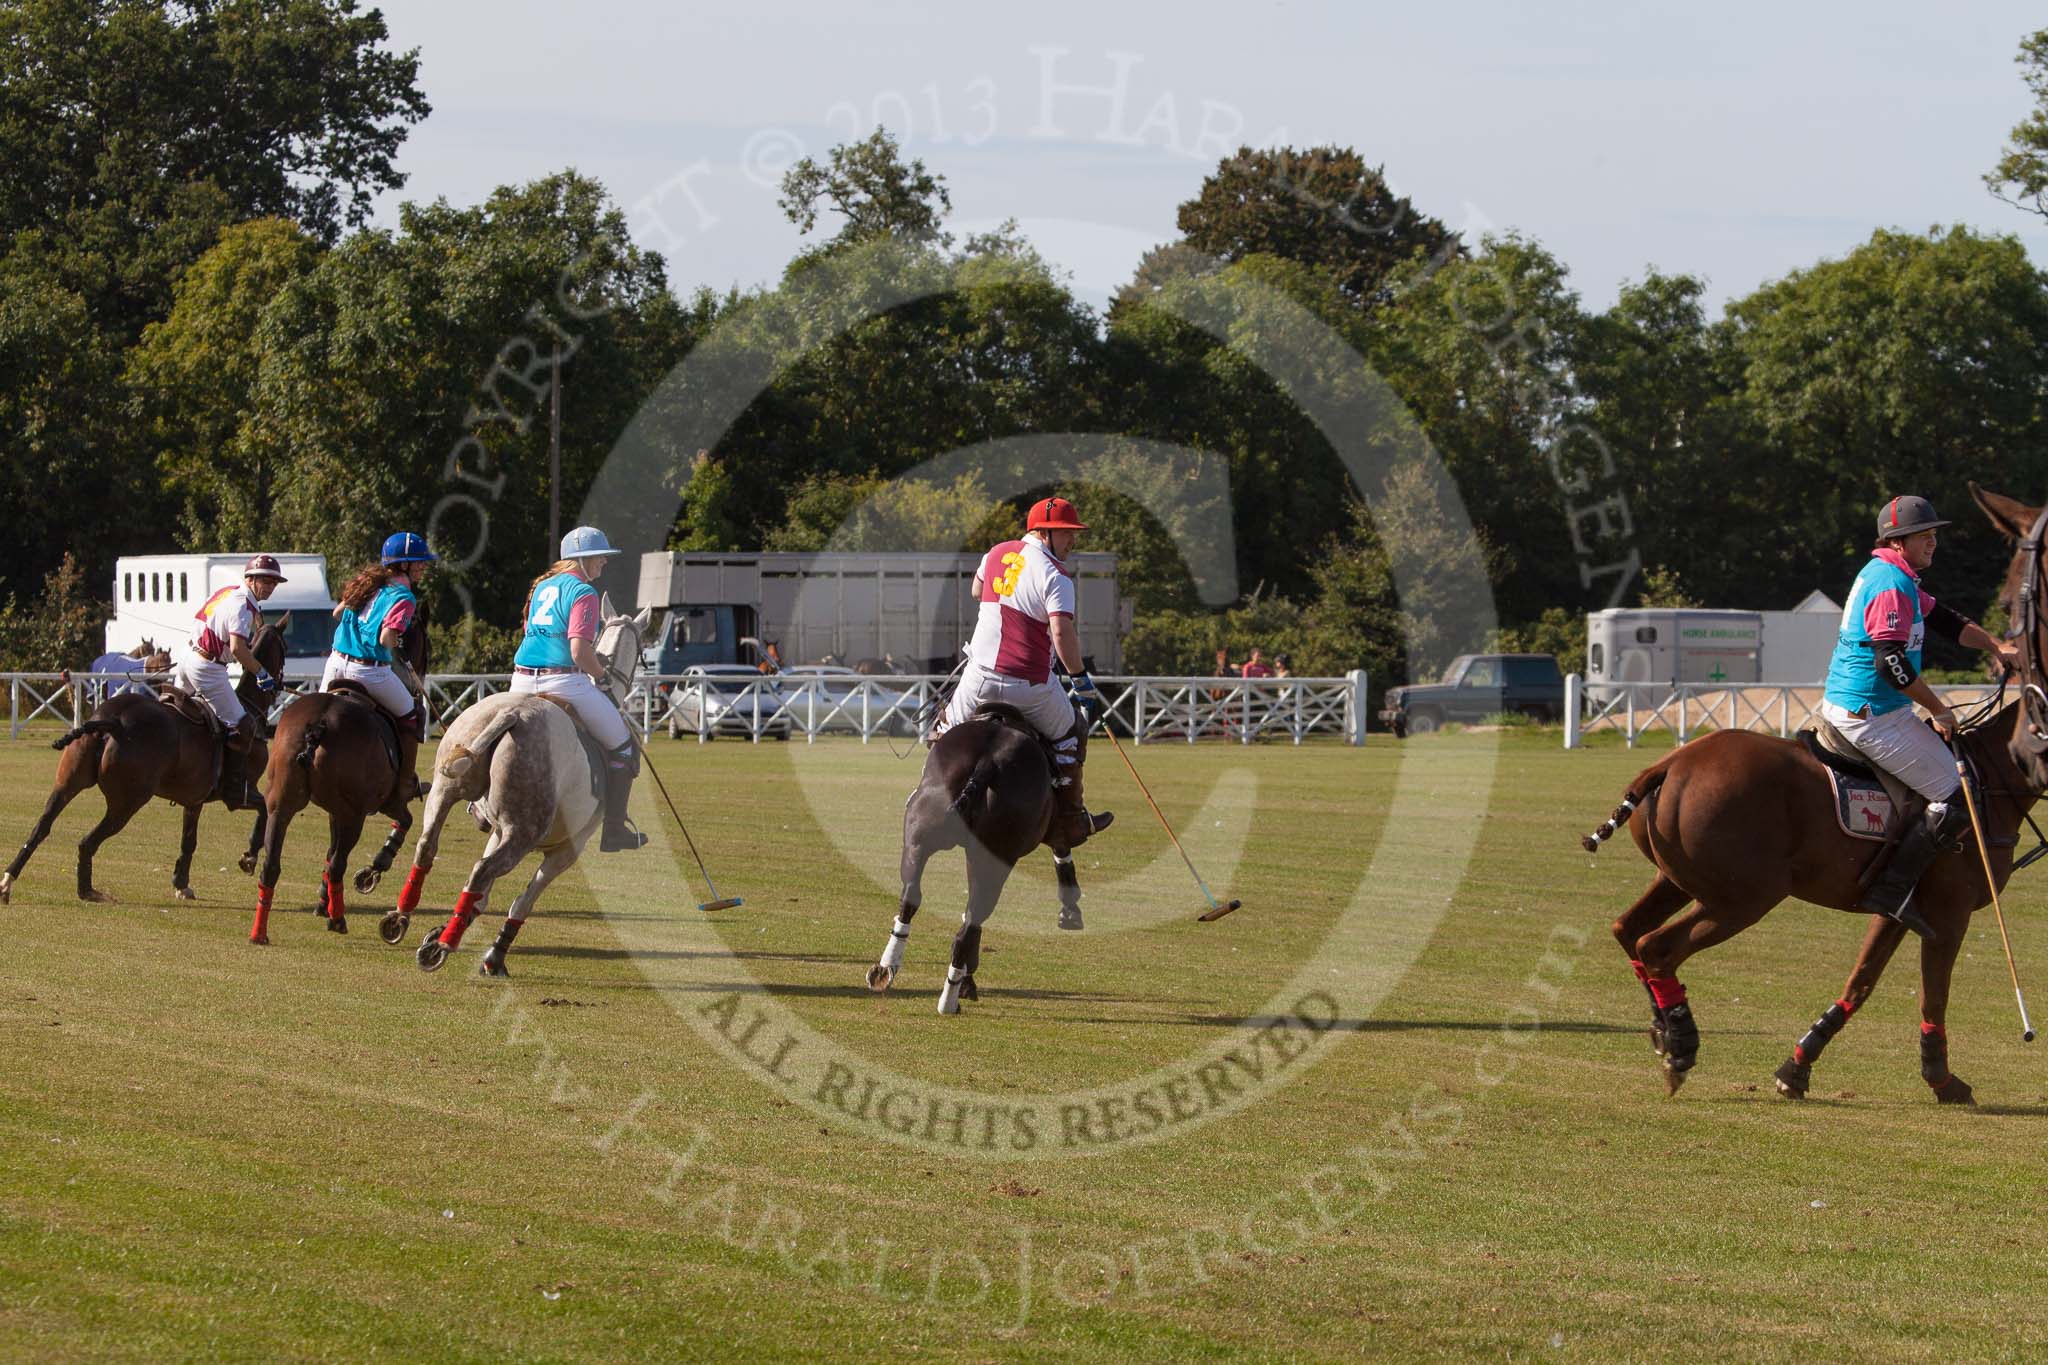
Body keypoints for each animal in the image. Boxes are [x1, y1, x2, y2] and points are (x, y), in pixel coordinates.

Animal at [0, 626, 288, 908]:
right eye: (284, 648)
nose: (279, 685)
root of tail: (111, 721)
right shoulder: (240, 794)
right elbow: (264, 810)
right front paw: (249, 857)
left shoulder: (194, 799)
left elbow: (189, 841)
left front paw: (181, 884)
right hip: (127, 802)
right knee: (86, 842)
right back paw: (88, 891)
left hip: (67, 783)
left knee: (42, 827)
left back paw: (8, 882)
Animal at [244, 618, 428, 945]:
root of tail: (319, 724)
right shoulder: (382, 803)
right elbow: (404, 821)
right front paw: (373, 869)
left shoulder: (333, 811)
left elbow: (329, 852)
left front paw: (322, 902)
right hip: (355, 815)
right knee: (338, 865)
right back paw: (338, 919)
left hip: (282, 804)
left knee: (272, 865)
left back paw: (259, 933)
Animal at [864, 703, 1089, 1015]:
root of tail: (986, 764)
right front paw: (1070, 909)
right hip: (997, 855)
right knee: (969, 925)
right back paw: (950, 998)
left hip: (918, 838)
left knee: (912, 897)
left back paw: (887, 969)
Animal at [1581, 485, 2048, 1105]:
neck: (1994, 774)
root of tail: (1668, 765)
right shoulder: (1948, 912)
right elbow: (1934, 993)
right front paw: (1943, 1079)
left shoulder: (1900, 906)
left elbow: (1862, 981)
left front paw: (1797, 1066)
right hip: (1745, 895)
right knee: (1657, 946)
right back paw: (1678, 1047)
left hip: (1683, 878)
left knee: (1627, 932)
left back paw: (1662, 1029)